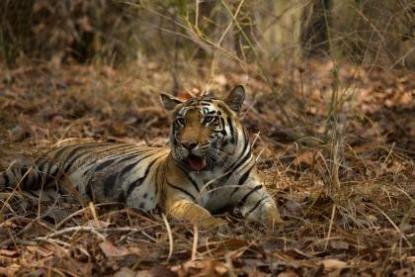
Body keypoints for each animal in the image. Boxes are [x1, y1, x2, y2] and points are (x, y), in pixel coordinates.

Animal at [0, 85, 282, 230]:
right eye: (181, 122)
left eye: (207, 120)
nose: (188, 145)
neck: (216, 167)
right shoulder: (179, 200)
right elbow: (202, 215)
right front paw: (219, 226)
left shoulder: (256, 193)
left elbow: (271, 211)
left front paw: (276, 227)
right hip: (35, 170)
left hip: (45, 193)